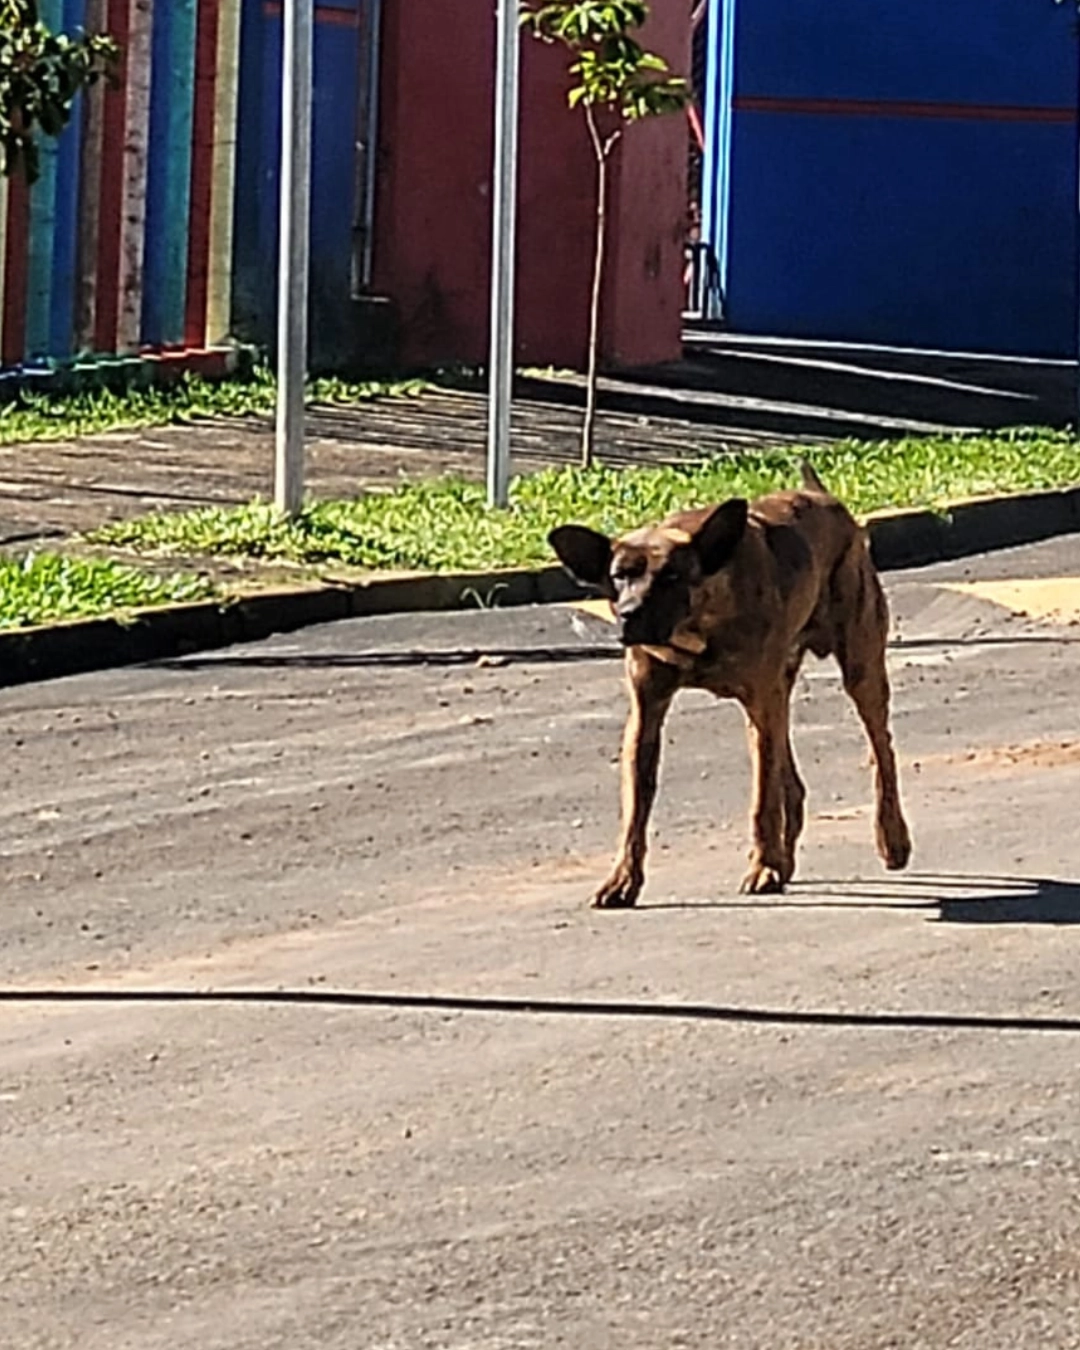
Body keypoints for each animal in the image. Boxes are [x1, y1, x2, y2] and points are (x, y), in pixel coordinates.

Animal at [548, 461, 912, 907]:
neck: (698, 623)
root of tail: (823, 496)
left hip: (860, 667)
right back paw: (787, 856)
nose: (629, 614)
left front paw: (763, 867)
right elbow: (636, 806)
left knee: (881, 753)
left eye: (671, 576)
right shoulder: (646, 715)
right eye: (619, 576)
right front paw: (623, 878)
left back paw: (891, 838)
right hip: (779, 692)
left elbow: (762, 800)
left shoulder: (760, 703)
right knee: (791, 782)